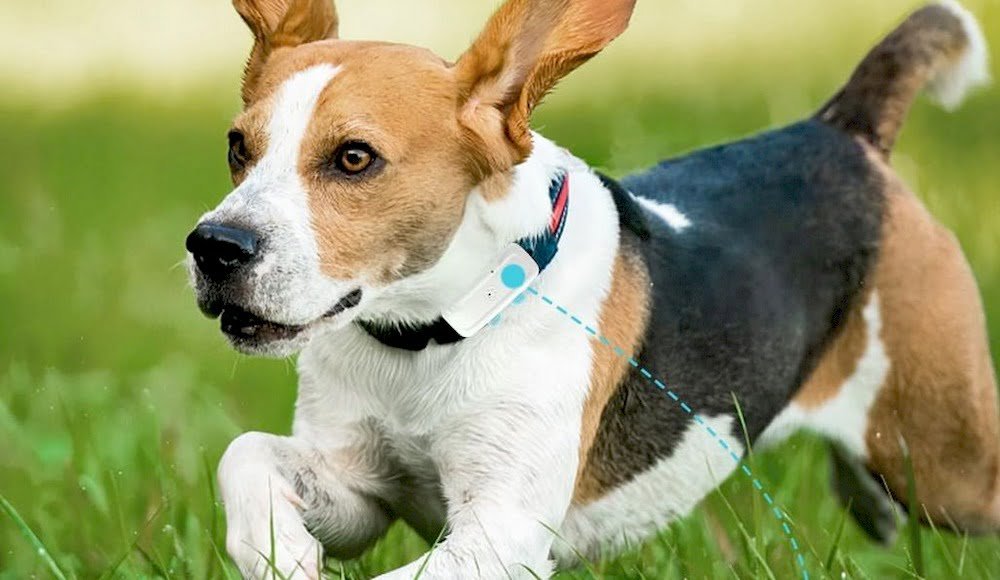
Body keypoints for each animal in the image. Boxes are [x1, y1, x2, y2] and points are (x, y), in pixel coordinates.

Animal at [184, 0, 996, 576]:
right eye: (236, 146)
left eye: (354, 158)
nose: (214, 247)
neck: (430, 335)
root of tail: (842, 133)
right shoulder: (360, 491)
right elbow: (245, 455)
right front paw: (281, 554)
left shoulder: (501, 531)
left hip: (947, 465)